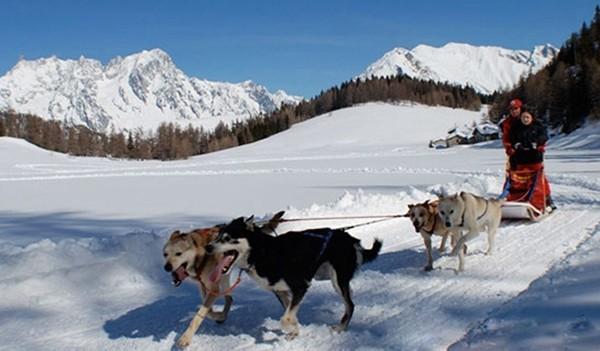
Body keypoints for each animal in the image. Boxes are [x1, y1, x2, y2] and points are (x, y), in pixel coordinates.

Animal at [163, 212, 284, 350]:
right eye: (165, 254)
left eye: (178, 253)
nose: (167, 267)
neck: (202, 256)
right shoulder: (204, 286)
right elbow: (207, 310)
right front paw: (218, 315)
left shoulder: (213, 288)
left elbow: (199, 315)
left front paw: (185, 338)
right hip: (223, 276)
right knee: (229, 298)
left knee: (230, 298)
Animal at [204, 216, 382, 340]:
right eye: (217, 237)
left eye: (227, 238)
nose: (208, 247)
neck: (263, 252)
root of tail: (350, 238)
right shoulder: (280, 291)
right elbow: (289, 313)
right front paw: (295, 330)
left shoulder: (300, 286)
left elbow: (285, 318)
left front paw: (293, 329)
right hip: (330, 277)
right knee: (349, 297)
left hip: (337, 280)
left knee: (350, 305)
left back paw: (341, 328)